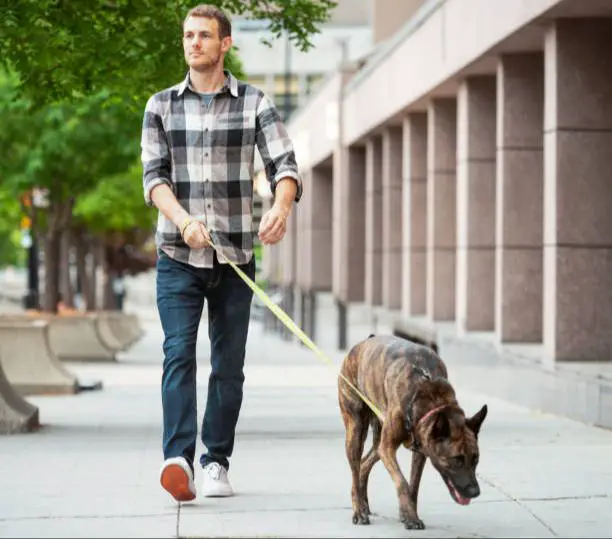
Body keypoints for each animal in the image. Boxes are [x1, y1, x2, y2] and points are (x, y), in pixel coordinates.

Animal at [334, 336, 488, 528]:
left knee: (364, 463)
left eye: (475, 459)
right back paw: (358, 511)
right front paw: (408, 514)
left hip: (378, 443)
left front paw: (410, 515)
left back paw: (364, 504)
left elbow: (413, 486)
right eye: (456, 460)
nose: (475, 492)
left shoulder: (420, 450)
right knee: (355, 471)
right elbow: (402, 482)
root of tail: (363, 343)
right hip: (356, 430)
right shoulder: (388, 448)